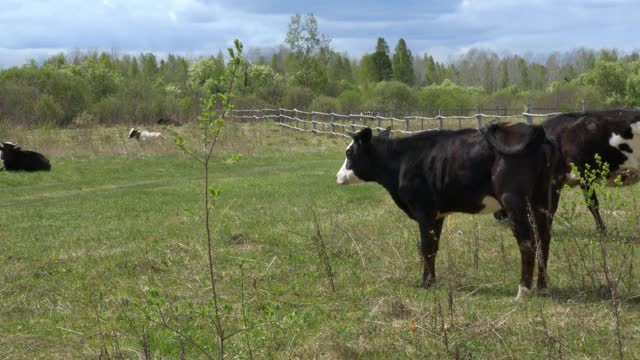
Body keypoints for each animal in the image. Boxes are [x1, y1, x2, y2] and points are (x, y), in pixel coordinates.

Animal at [338, 125, 564, 300]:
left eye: (349, 153)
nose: (338, 176)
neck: (402, 160)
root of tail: (536, 131)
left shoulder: (424, 211)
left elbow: (426, 248)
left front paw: (426, 284)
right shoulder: (437, 215)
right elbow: (433, 248)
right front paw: (431, 281)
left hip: (514, 201)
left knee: (527, 242)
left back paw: (522, 292)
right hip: (543, 199)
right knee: (544, 238)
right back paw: (543, 288)